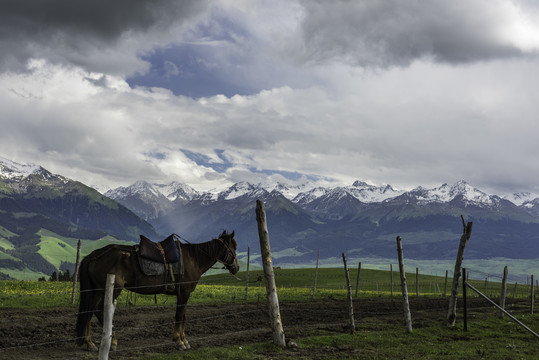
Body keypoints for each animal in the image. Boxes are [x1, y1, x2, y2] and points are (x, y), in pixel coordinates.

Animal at [75, 231, 239, 352]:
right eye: (234, 247)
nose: (236, 267)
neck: (194, 259)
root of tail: (93, 256)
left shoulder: (184, 294)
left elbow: (184, 316)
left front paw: (184, 340)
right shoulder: (184, 293)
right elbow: (179, 316)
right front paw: (179, 341)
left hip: (96, 290)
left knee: (89, 312)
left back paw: (90, 344)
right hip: (111, 289)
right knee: (99, 310)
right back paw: (112, 341)